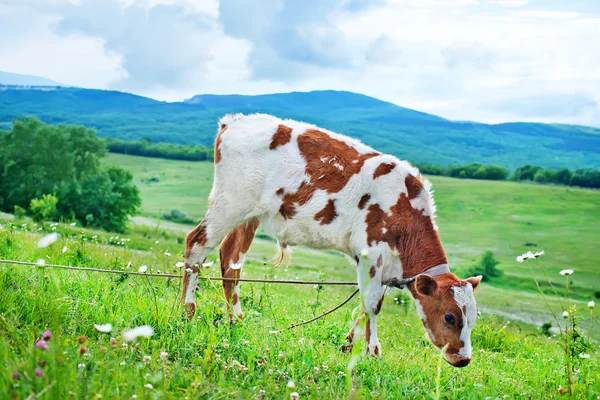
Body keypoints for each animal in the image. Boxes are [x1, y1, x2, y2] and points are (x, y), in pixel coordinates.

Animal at [179, 112, 482, 366]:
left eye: (473, 318)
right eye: (450, 317)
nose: (464, 359)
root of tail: (236, 120)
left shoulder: (384, 264)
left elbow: (369, 303)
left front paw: (350, 343)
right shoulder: (370, 253)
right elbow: (372, 303)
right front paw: (371, 351)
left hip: (249, 215)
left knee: (231, 259)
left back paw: (236, 320)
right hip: (230, 203)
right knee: (197, 244)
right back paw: (187, 312)